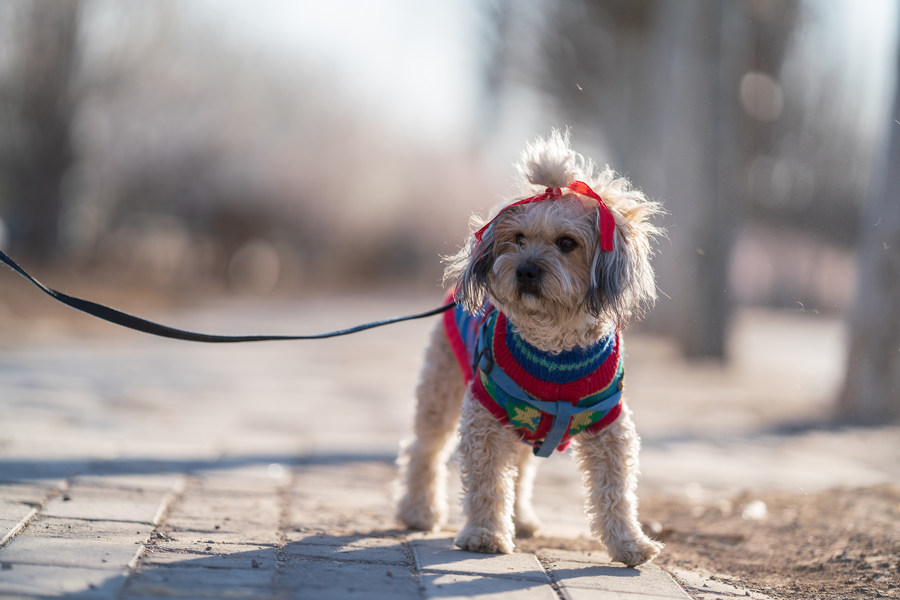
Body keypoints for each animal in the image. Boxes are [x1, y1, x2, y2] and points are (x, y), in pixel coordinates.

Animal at [398, 131, 664, 568]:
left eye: (567, 243)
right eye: (518, 238)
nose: (525, 269)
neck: (554, 353)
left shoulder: (609, 427)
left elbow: (616, 492)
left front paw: (629, 543)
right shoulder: (485, 416)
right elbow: (487, 482)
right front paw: (485, 535)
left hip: (522, 422)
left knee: (520, 472)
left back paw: (521, 520)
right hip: (441, 390)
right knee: (425, 449)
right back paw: (417, 512)